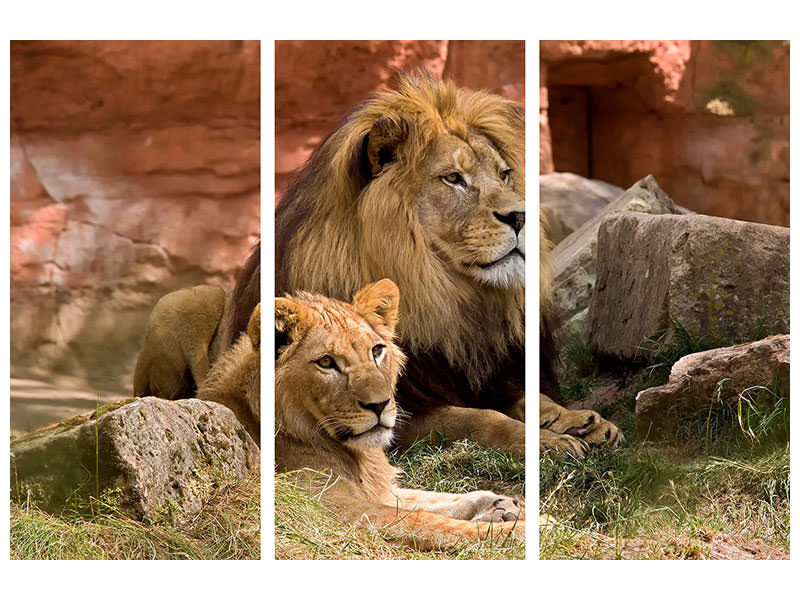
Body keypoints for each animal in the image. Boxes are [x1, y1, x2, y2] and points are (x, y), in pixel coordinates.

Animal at [276, 278, 524, 550]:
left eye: (376, 351)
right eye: (326, 362)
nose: (379, 405)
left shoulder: (380, 490)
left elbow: (427, 499)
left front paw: (500, 506)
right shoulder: (326, 506)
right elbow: (429, 522)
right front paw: (527, 528)